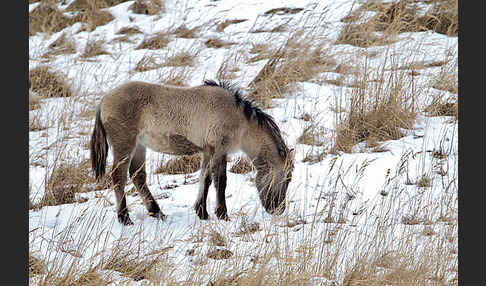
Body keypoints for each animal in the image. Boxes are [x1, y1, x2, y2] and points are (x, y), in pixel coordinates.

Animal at [90, 79, 294, 225]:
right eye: (287, 178)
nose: (278, 209)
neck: (239, 119)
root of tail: (104, 100)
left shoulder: (208, 151)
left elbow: (206, 179)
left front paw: (202, 212)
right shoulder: (219, 150)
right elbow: (220, 182)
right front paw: (223, 215)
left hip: (139, 147)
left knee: (138, 176)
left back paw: (158, 212)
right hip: (124, 145)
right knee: (118, 177)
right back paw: (125, 218)